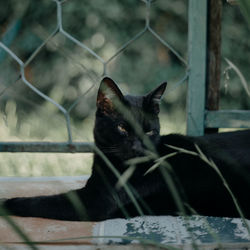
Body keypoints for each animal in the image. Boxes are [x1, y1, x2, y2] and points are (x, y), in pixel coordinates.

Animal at [0, 77, 250, 221]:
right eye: (122, 128)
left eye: (149, 131)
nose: (139, 147)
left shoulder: (94, 202)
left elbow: (42, 201)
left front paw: (6, 204)